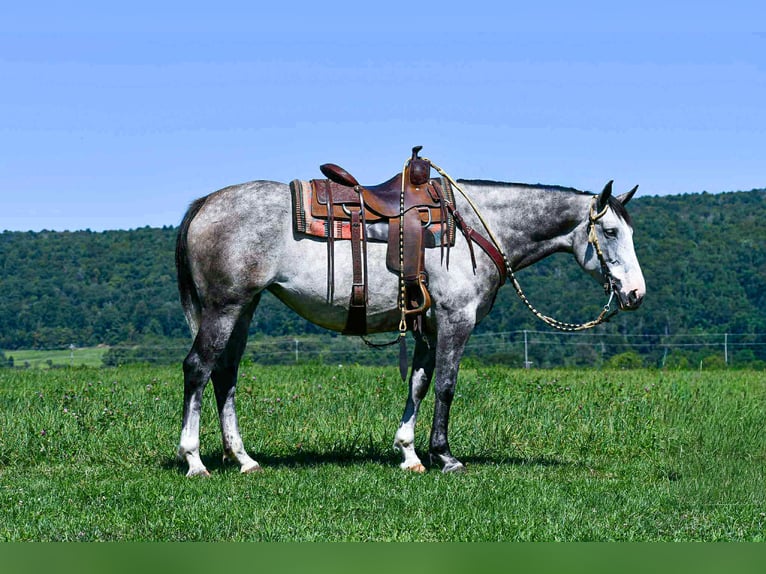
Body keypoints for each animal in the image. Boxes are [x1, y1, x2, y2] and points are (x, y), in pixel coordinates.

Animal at [175, 168, 645, 476]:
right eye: (611, 232)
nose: (635, 294)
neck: (475, 227)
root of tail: (206, 203)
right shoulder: (456, 320)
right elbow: (445, 386)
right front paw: (445, 456)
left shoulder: (428, 327)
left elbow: (418, 384)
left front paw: (409, 454)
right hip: (225, 307)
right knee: (198, 368)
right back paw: (194, 460)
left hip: (244, 308)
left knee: (225, 374)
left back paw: (244, 459)